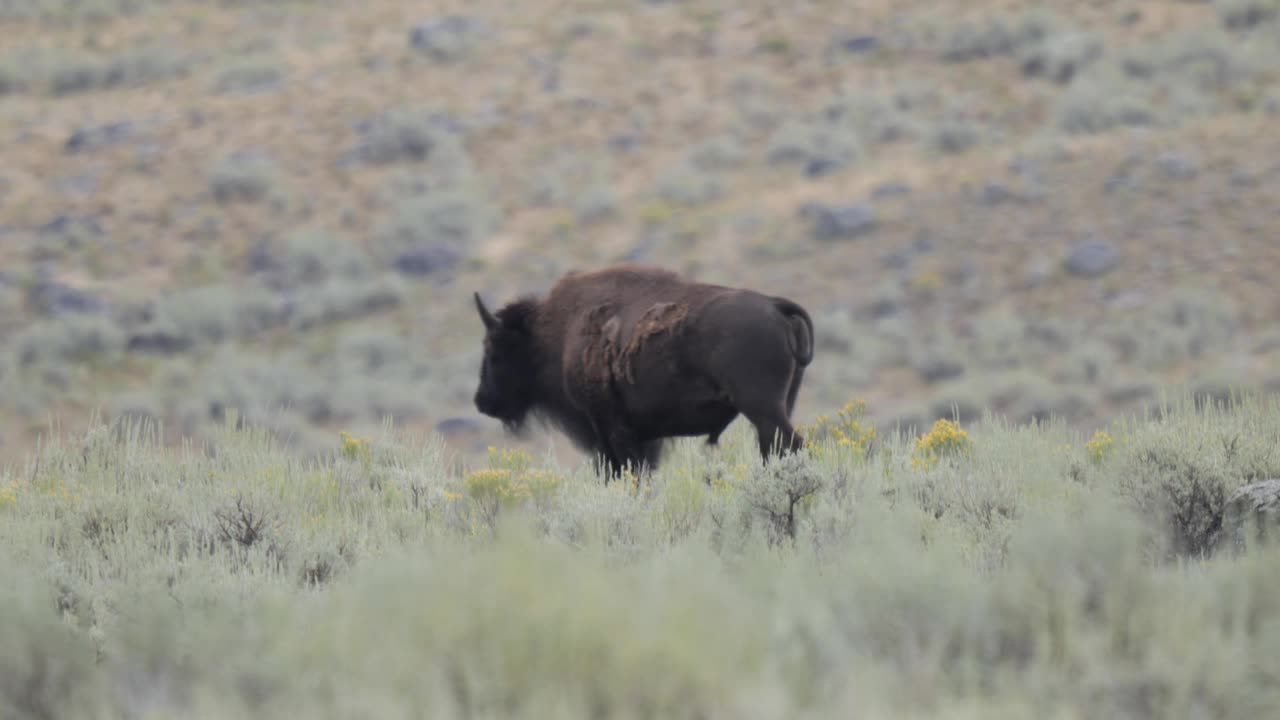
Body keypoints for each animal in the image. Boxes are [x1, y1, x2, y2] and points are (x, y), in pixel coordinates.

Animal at [476, 262, 814, 476]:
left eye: (494, 350)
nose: (482, 401)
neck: (555, 334)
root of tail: (775, 305)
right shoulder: (638, 437)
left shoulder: (611, 430)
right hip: (781, 406)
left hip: (763, 410)